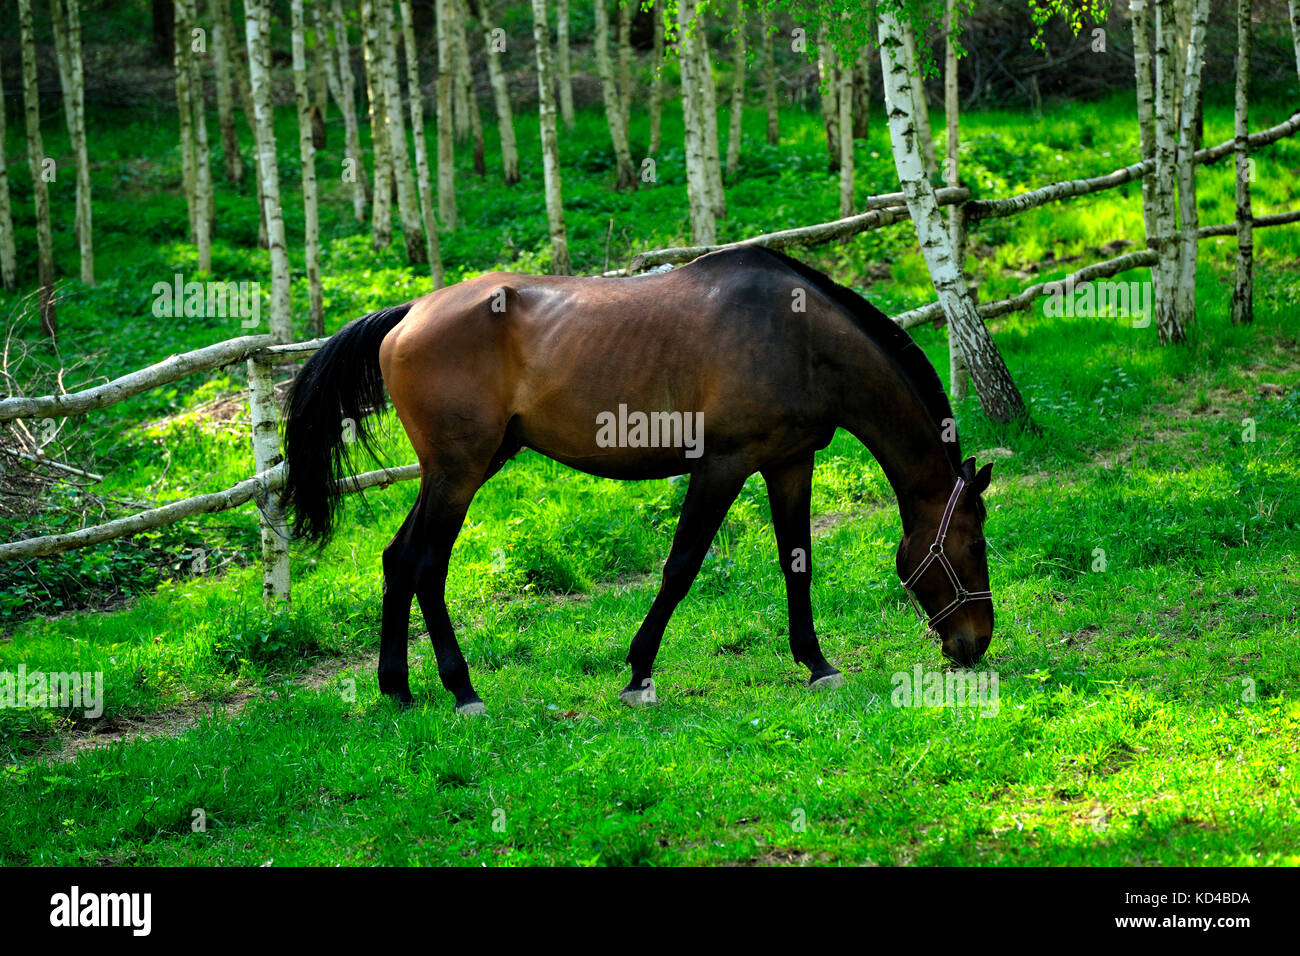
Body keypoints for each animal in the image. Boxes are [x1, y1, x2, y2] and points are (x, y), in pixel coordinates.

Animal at [284, 244, 993, 712]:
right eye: (975, 543)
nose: (975, 643)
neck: (797, 334)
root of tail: (409, 312)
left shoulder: (789, 461)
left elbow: (798, 563)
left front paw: (817, 664)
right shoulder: (721, 467)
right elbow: (680, 567)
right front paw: (638, 674)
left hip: (462, 468)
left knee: (399, 559)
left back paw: (398, 689)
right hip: (457, 473)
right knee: (428, 565)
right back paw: (462, 690)